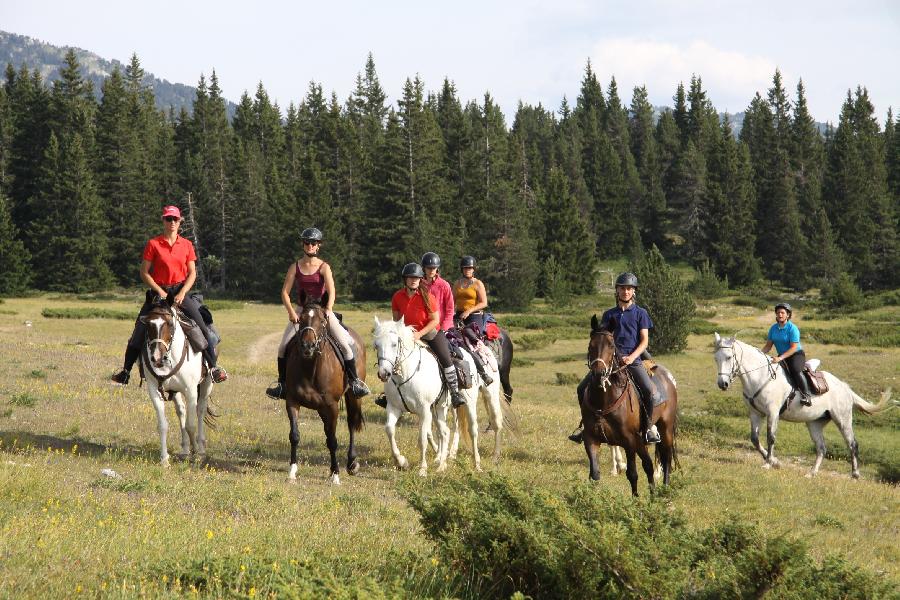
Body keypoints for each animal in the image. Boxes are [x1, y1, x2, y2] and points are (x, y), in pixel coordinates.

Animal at [140, 302, 215, 466]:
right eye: (148, 324)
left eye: (169, 323)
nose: (157, 358)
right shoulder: (154, 390)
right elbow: (163, 425)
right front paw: (164, 459)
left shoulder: (191, 390)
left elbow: (191, 425)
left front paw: (196, 453)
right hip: (175, 391)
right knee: (181, 411)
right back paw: (185, 449)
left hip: (207, 385)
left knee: (200, 410)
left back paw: (200, 448)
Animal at [284, 302, 364, 486]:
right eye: (301, 319)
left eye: (322, 321)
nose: (308, 346)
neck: (310, 368)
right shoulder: (292, 401)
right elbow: (294, 435)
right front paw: (292, 470)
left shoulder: (331, 406)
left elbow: (333, 441)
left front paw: (335, 474)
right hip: (321, 409)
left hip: (352, 397)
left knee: (351, 424)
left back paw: (351, 463)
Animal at [370, 316, 500, 476]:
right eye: (376, 345)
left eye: (394, 344)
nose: (384, 374)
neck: (405, 375)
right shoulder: (394, 407)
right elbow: (389, 430)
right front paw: (401, 461)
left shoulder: (424, 410)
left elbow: (422, 438)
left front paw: (422, 469)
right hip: (440, 407)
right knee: (445, 432)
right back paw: (441, 464)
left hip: (479, 399)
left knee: (479, 428)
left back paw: (482, 462)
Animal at [580, 314, 680, 496]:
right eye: (591, 345)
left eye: (611, 345)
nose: (598, 374)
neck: (603, 401)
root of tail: (668, 377)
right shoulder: (591, 438)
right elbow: (594, 474)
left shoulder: (629, 440)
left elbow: (632, 473)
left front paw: (635, 499)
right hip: (641, 440)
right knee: (648, 464)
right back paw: (653, 494)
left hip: (665, 428)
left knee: (666, 457)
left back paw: (664, 490)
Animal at [712, 332, 892, 478]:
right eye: (716, 358)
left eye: (729, 357)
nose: (722, 384)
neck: (760, 376)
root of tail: (844, 387)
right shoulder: (756, 413)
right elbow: (755, 439)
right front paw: (775, 461)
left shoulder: (772, 413)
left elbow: (771, 437)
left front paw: (769, 463)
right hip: (814, 423)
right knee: (821, 448)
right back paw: (811, 473)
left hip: (843, 419)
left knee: (852, 443)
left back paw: (855, 474)